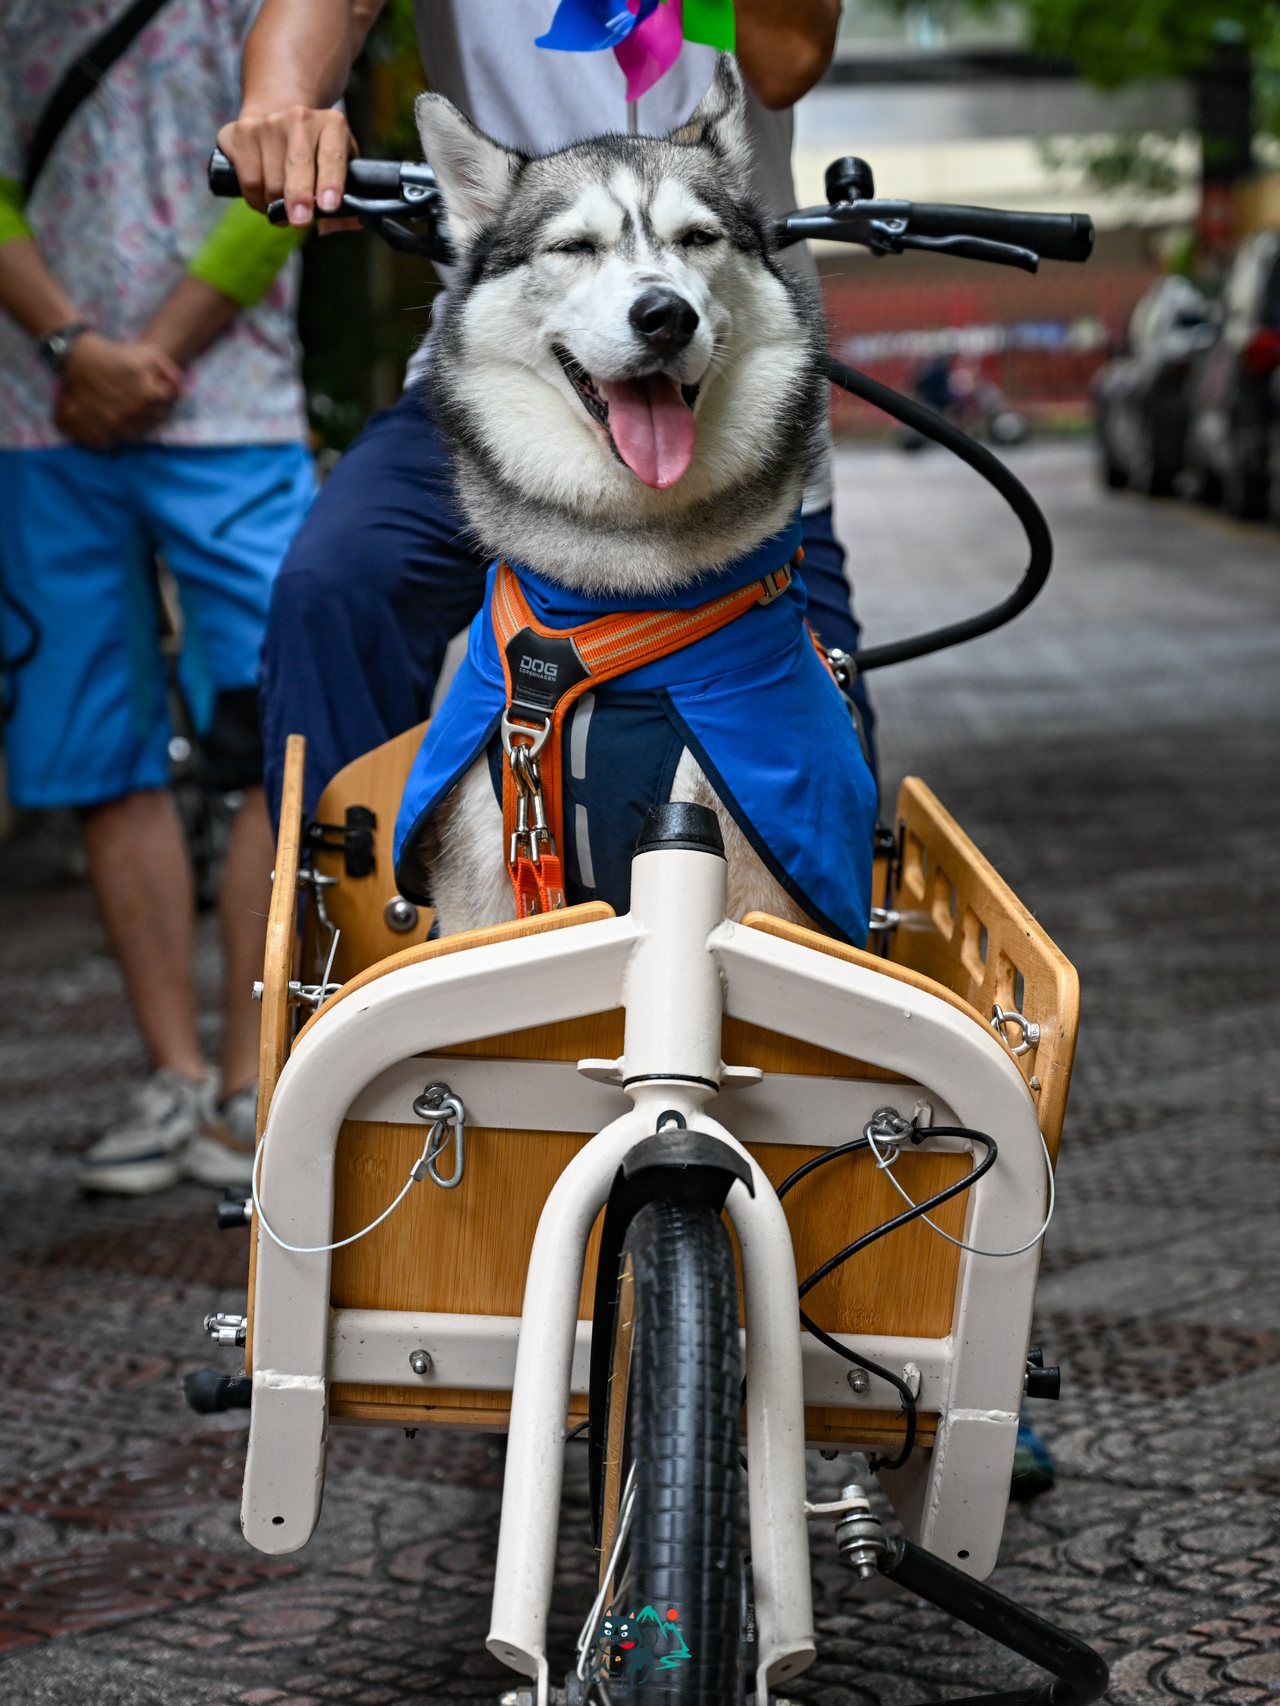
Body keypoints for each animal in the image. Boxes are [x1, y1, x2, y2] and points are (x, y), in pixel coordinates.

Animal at [406, 60, 836, 934]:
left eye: (698, 238)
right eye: (574, 247)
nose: (665, 315)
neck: (616, 606)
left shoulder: (751, 869)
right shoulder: (485, 876)